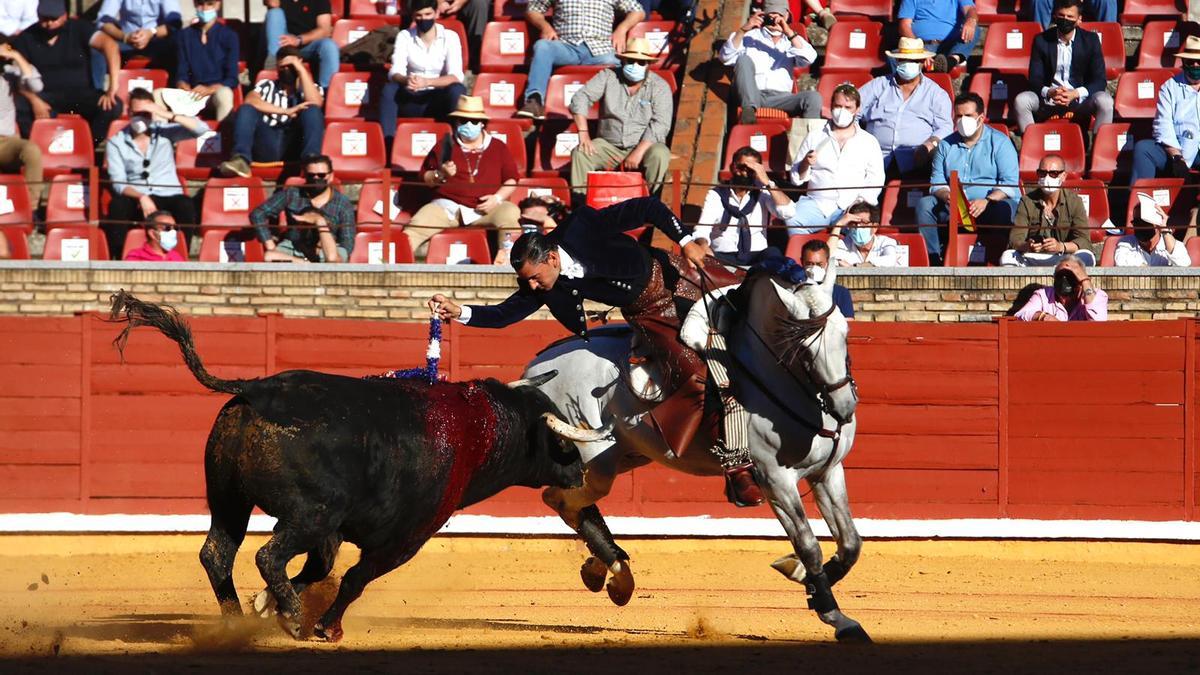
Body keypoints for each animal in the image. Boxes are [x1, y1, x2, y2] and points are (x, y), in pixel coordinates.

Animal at [106, 293, 628, 638]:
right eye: (560, 445)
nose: (578, 478)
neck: (477, 429)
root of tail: (257, 388)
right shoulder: (406, 537)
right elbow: (355, 578)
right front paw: (323, 626)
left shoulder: (334, 533)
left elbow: (319, 570)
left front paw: (266, 606)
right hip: (306, 513)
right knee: (266, 555)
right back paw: (294, 620)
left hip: (228, 498)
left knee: (218, 552)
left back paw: (236, 621)